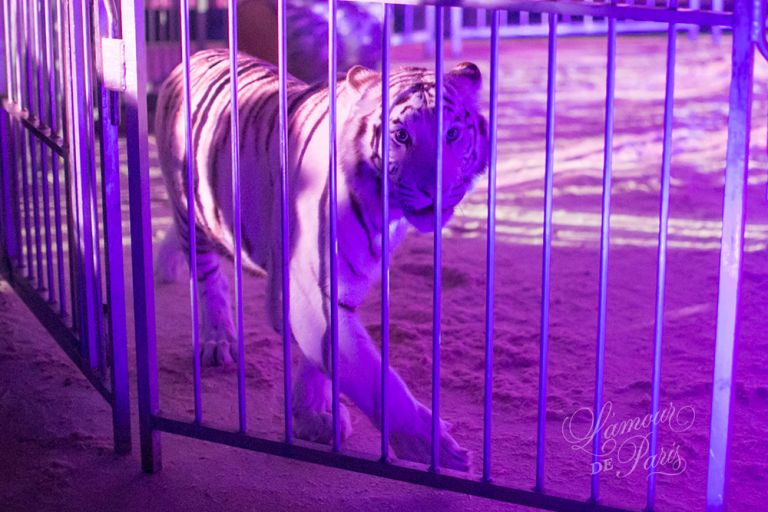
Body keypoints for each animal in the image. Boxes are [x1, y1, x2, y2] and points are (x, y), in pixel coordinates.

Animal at [154, 50, 488, 470]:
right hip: (190, 201)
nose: (436, 190)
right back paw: (217, 340)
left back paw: (164, 266)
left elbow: (322, 360)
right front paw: (438, 449)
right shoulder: (307, 289)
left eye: (452, 135)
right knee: (208, 276)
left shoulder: (341, 286)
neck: (388, 214)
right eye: (401, 137)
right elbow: (371, 376)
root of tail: (197, 53)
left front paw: (310, 417)